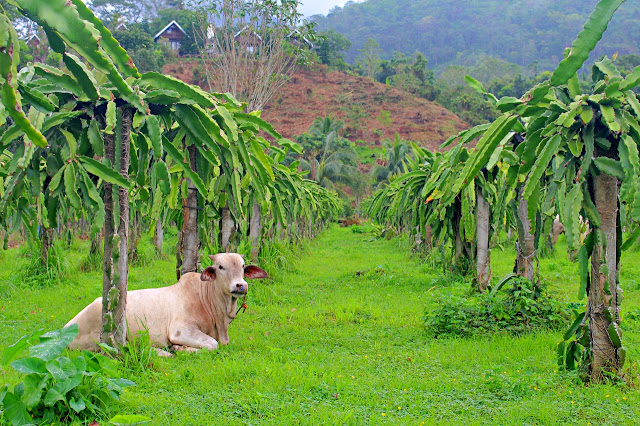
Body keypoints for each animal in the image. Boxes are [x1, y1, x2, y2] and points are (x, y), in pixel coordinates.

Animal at [69, 255, 268, 354]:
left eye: (243, 266)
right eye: (220, 267)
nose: (241, 285)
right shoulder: (181, 330)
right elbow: (212, 344)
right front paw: (179, 348)